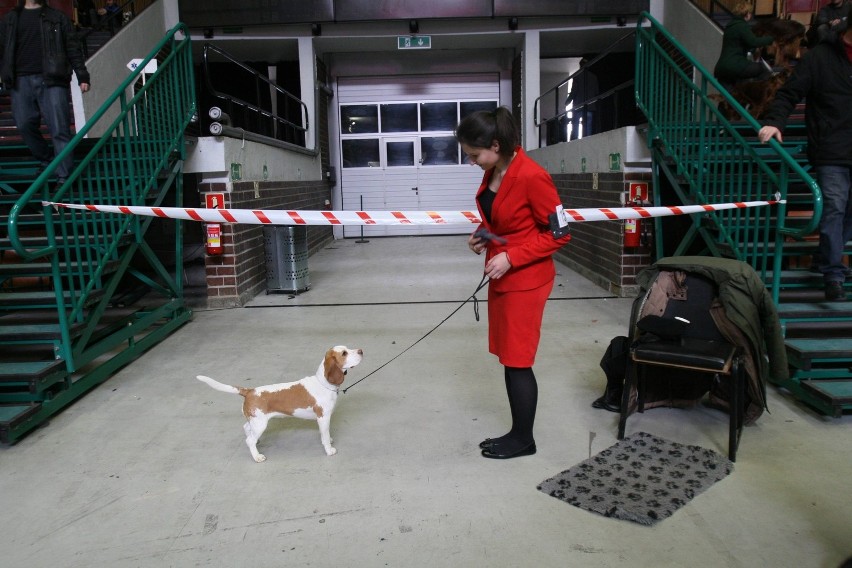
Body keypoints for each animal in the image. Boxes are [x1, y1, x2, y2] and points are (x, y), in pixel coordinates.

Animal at [197, 346, 362, 462]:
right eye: (344, 353)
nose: (361, 351)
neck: (323, 383)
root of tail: (249, 391)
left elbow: (326, 434)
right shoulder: (323, 418)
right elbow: (325, 437)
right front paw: (329, 450)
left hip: (254, 421)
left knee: (246, 429)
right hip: (260, 424)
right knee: (249, 440)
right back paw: (257, 456)